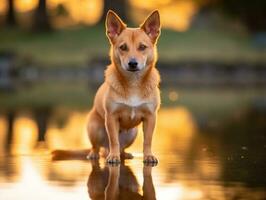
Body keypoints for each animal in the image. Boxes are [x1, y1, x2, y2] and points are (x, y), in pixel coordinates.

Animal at [52, 9, 160, 164]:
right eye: (123, 47)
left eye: (142, 47)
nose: (133, 63)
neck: (133, 82)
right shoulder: (111, 117)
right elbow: (113, 139)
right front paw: (113, 157)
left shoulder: (150, 117)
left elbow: (148, 140)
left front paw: (148, 155)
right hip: (94, 127)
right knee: (98, 146)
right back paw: (97, 154)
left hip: (133, 133)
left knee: (122, 148)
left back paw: (125, 154)